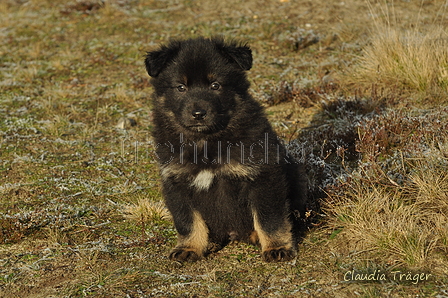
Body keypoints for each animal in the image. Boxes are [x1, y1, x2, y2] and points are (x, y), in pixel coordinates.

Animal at [145, 37, 306, 264]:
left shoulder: (262, 176)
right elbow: (187, 221)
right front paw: (189, 248)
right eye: (180, 87)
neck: (205, 141)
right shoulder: (176, 182)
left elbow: (269, 218)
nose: (198, 113)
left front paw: (277, 247)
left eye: (215, 85)